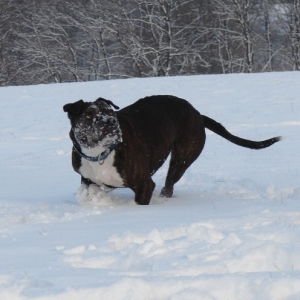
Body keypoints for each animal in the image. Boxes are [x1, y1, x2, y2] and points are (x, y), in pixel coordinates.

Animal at [63, 95, 282, 205]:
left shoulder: (144, 185)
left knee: (169, 184)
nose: (110, 122)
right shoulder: (88, 180)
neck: (98, 153)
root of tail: (198, 114)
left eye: (110, 112)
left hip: (182, 158)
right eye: (90, 115)